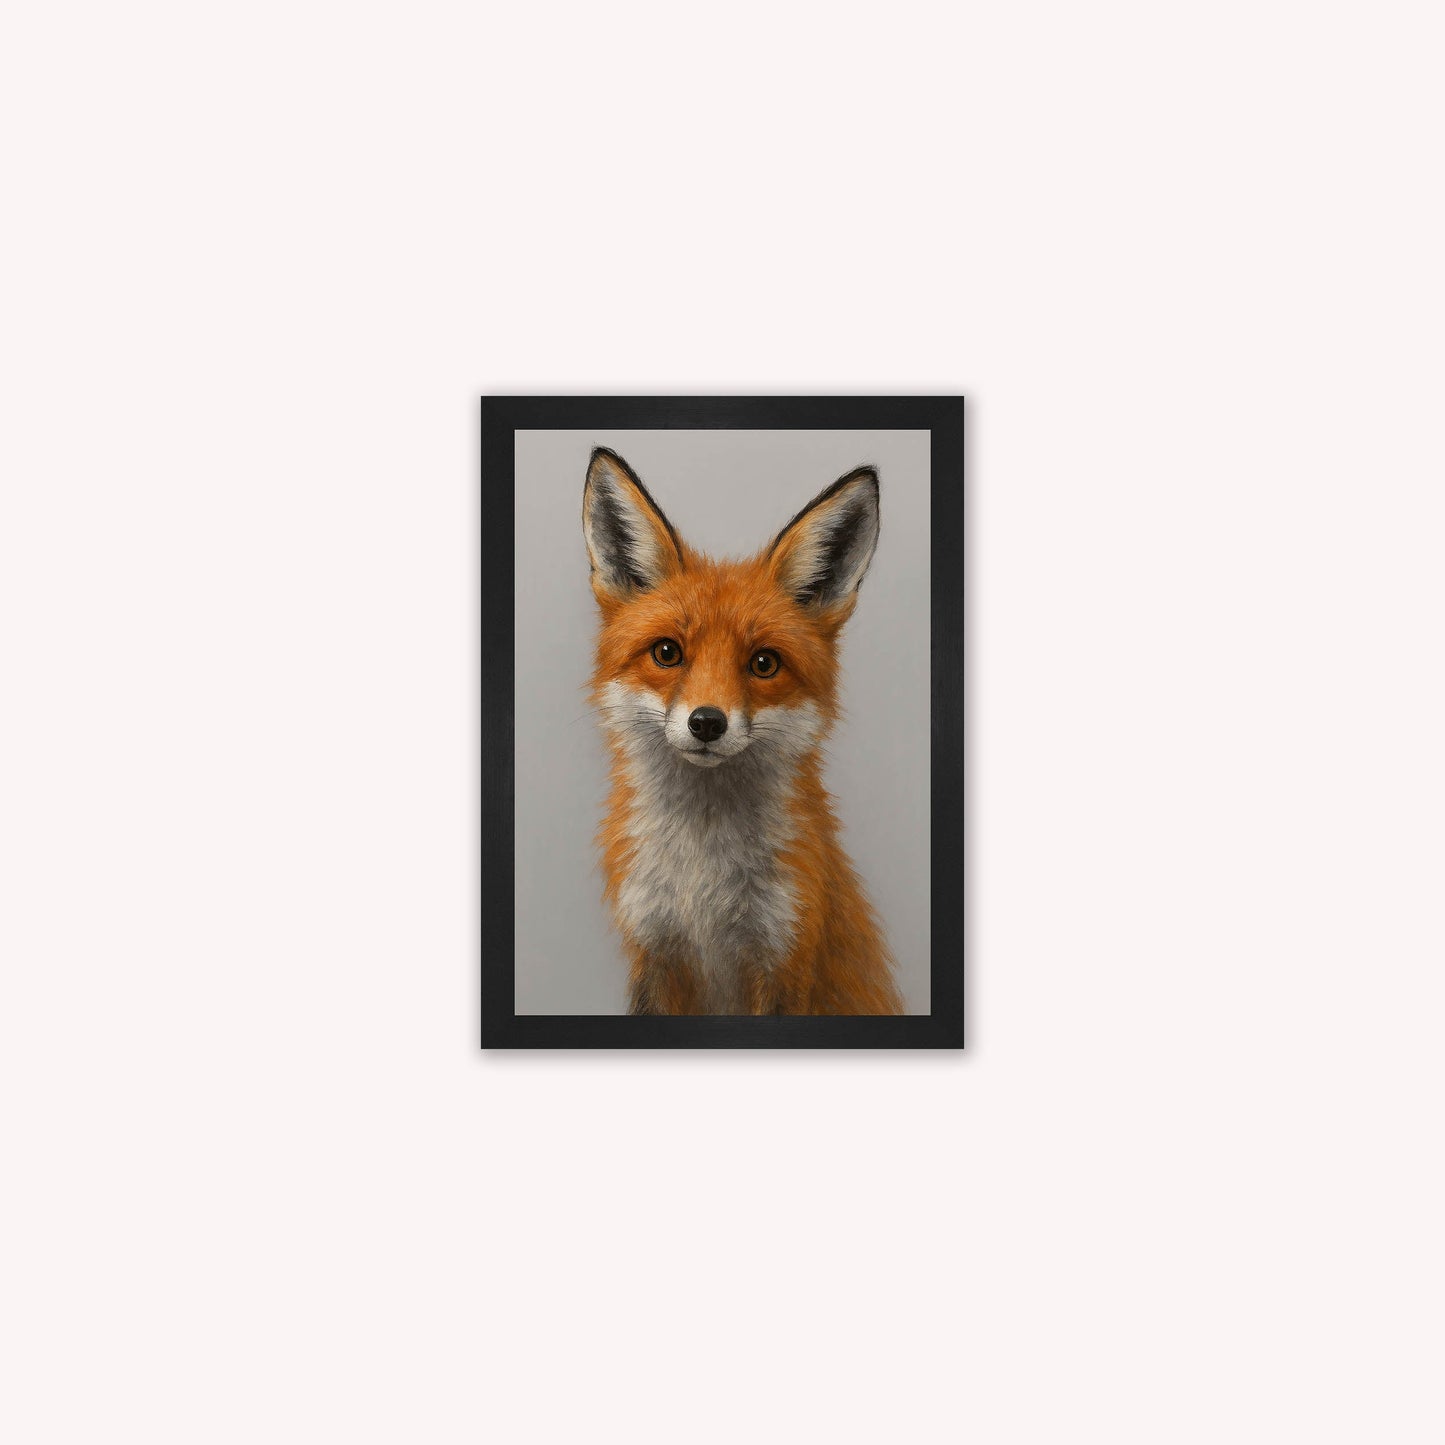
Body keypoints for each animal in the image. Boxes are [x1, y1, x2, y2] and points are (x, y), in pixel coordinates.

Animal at [582, 446, 904, 1016]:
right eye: (667, 652)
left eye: (763, 663)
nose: (707, 722)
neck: (702, 884)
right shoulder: (653, 948)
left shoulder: (784, 955)